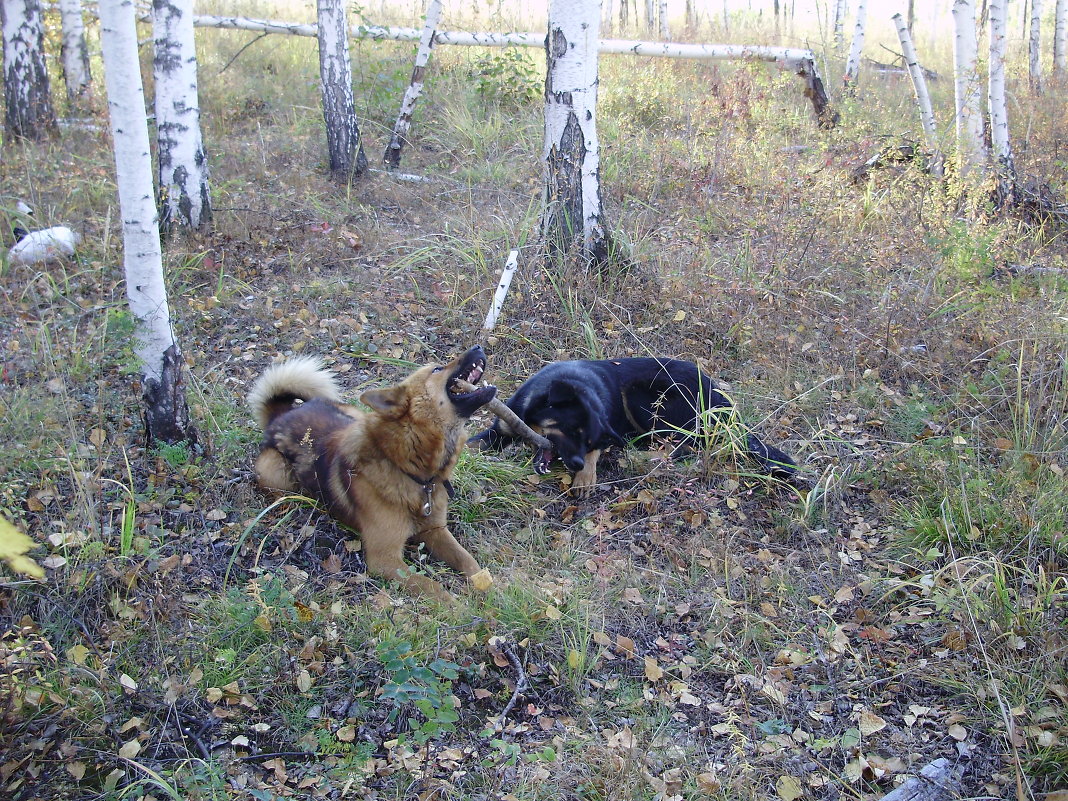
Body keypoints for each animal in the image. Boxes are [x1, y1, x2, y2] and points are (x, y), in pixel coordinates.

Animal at [248, 346, 495, 602]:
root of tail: (281, 415)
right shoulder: (385, 559)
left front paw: (490, 589)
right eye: (437, 369)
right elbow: (432, 587)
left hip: (354, 416)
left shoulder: (436, 530)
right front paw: (458, 605)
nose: (478, 347)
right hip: (275, 475)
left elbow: (468, 560)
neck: (408, 467)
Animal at [472, 358, 798, 495]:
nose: (576, 465)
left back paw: (640, 455)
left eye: (589, 441)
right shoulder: (499, 429)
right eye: (572, 430)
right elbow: (475, 441)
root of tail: (717, 392)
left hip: (644, 395)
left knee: (687, 444)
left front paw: (586, 477)